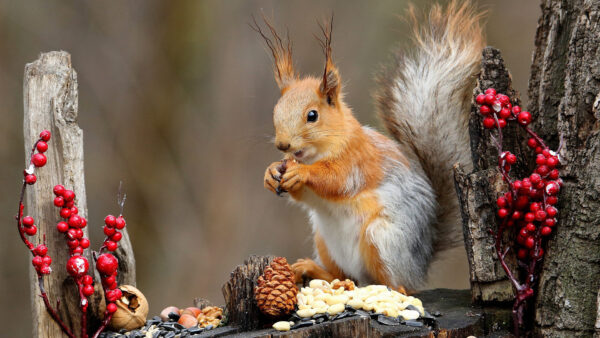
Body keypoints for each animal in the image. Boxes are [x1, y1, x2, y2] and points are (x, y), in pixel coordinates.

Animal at [252, 0, 482, 294]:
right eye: (276, 111)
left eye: (312, 115)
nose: (283, 144)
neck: (319, 153)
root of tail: (419, 267)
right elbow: (304, 195)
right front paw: (271, 173)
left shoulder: (358, 160)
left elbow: (337, 180)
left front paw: (303, 173)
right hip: (324, 241)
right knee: (343, 275)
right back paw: (316, 271)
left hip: (382, 240)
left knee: (396, 285)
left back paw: (390, 290)